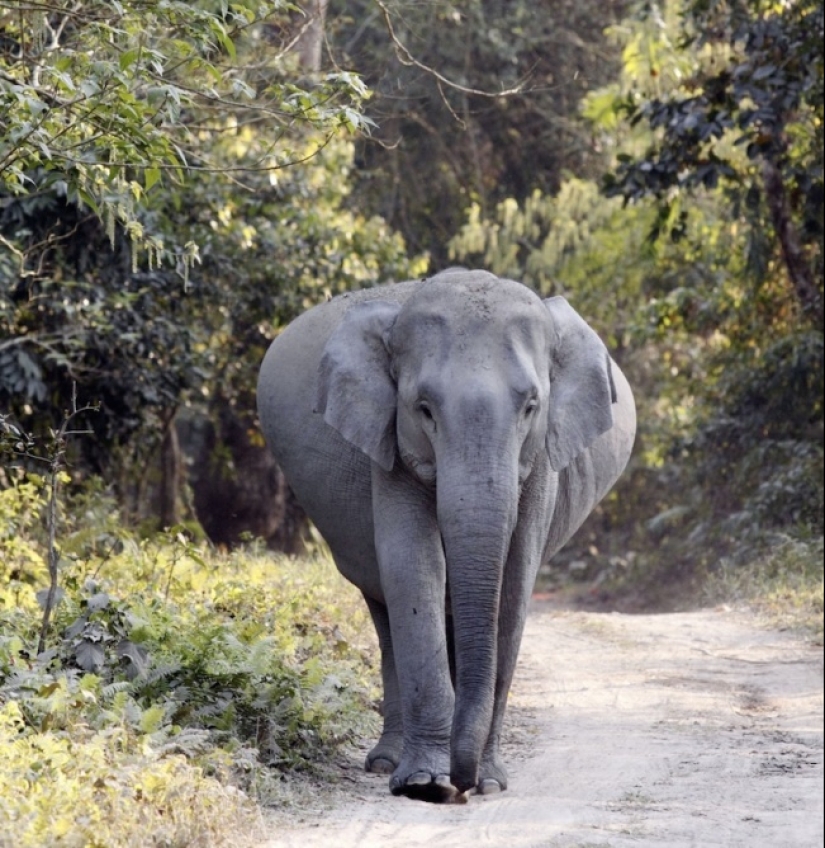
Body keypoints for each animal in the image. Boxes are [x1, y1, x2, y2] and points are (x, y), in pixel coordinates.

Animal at [258, 266, 636, 800]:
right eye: (424, 409)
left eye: (531, 407)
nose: (465, 781)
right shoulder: (389, 444)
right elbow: (414, 567)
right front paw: (425, 784)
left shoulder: (542, 459)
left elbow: (515, 581)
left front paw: (491, 783)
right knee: (385, 610)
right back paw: (386, 762)